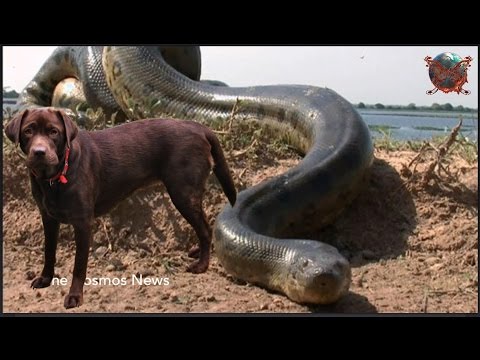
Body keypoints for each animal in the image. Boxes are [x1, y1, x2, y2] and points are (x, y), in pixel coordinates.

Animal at [3, 107, 236, 310]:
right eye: (28, 131)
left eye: (54, 132)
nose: (39, 152)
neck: (55, 178)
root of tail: (198, 126)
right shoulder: (48, 218)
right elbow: (49, 251)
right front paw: (46, 279)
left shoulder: (83, 223)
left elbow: (79, 265)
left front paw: (75, 296)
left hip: (183, 194)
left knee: (205, 229)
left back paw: (201, 265)